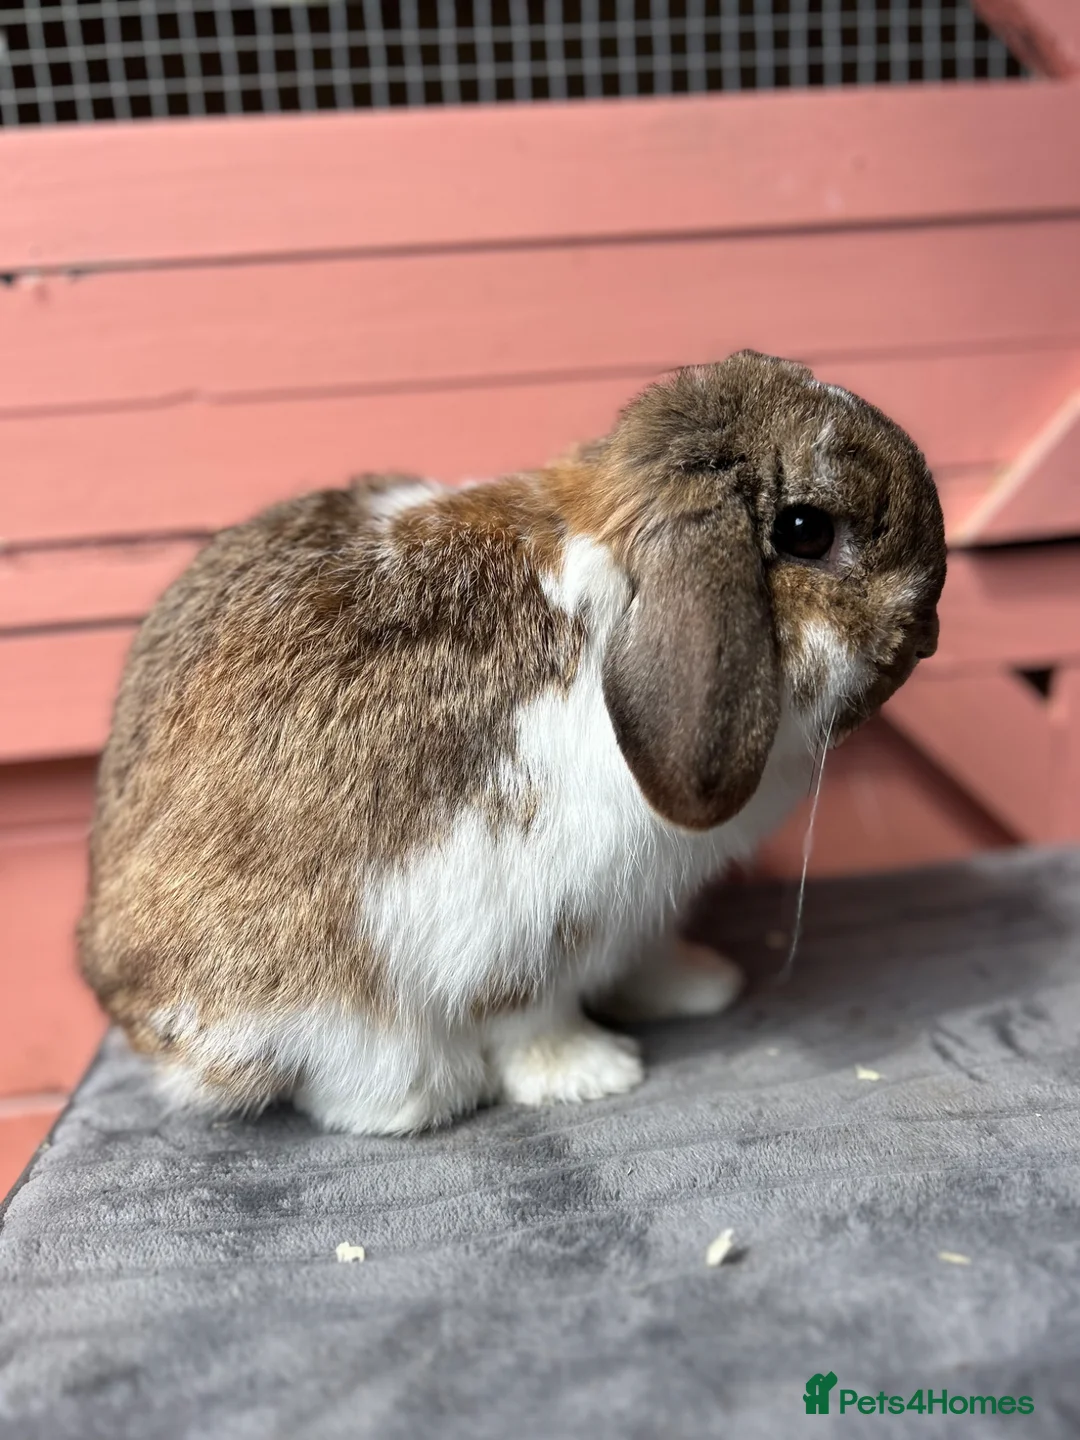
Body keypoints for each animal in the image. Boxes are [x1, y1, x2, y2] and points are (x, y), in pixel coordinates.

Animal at [79, 351, 946, 1135]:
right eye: (806, 530)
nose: (928, 636)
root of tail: (130, 1006)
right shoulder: (513, 917)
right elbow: (529, 1013)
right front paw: (593, 1074)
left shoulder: (636, 910)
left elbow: (645, 953)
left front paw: (699, 987)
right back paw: (424, 1097)